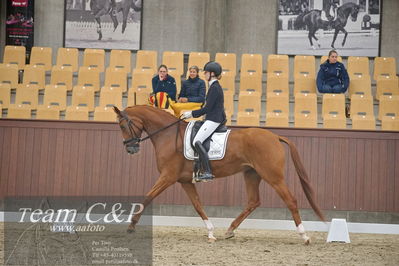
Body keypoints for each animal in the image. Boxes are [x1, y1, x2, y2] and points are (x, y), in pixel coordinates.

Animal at [113, 105, 324, 243]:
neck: (168, 135)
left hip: (273, 177)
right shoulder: (185, 181)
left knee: (291, 200)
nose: (131, 149)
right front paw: (211, 232)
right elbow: (198, 205)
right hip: (252, 174)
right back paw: (229, 230)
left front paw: (131, 226)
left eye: (123, 126)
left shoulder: (168, 177)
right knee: (253, 201)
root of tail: (275, 136)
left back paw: (304, 236)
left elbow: (147, 197)